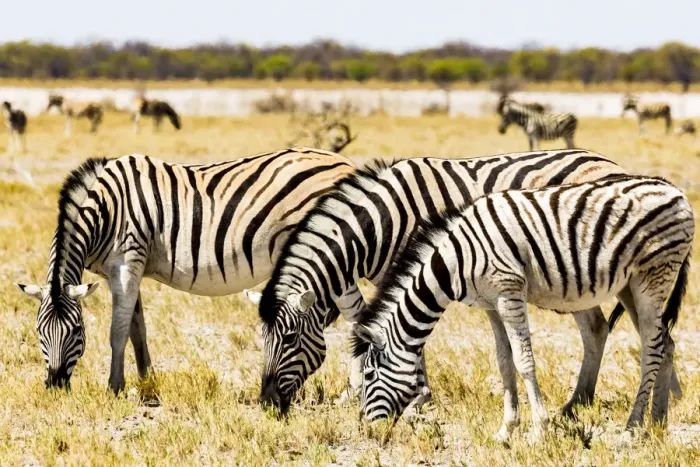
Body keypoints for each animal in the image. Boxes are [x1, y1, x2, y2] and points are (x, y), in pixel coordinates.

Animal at [15, 148, 355, 392]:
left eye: (76, 331)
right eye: (39, 332)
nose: (55, 386)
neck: (108, 210)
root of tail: (345, 162)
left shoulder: (127, 261)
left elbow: (118, 332)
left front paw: (115, 388)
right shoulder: (126, 270)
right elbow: (137, 330)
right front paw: (147, 382)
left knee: (356, 315)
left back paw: (350, 394)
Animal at [244, 149, 682, 417]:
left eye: (288, 340)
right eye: (262, 340)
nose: (266, 403)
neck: (381, 222)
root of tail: (610, 163)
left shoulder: (412, 264)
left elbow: (408, 335)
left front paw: (418, 397)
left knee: (638, 331)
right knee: (606, 329)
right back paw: (586, 402)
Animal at [353, 175, 693, 441]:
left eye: (369, 375)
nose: (368, 430)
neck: (456, 260)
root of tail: (675, 190)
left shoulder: (509, 293)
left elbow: (524, 361)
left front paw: (539, 429)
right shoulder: (490, 305)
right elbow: (504, 363)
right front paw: (507, 429)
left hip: (653, 277)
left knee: (651, 349)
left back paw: (632, 428)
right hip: (629, 285)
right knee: (665, 343)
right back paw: (658, 423)